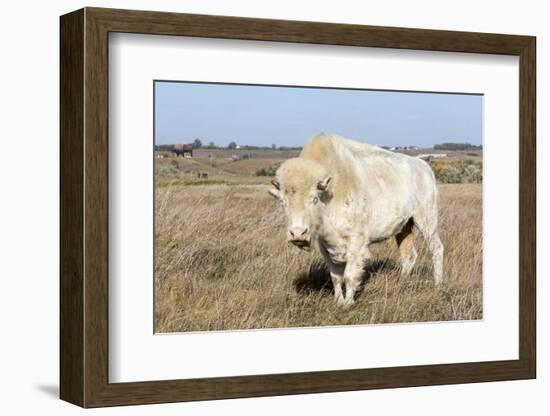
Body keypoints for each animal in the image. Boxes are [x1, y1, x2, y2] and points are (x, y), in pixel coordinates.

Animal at [270, 133, 446, 306]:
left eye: (314, 199)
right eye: (282, 202)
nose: (297, 233)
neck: (330, 193)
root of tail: (424, 167)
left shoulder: (356, 242)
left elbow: (349, 275)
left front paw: (348, 303)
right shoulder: (324, 244)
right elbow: (335, 276)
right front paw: (339, 301)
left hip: (427, 219)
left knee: (436, 248)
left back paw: (438, 285)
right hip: (404, 227)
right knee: (408, 255)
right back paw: (400, 284)